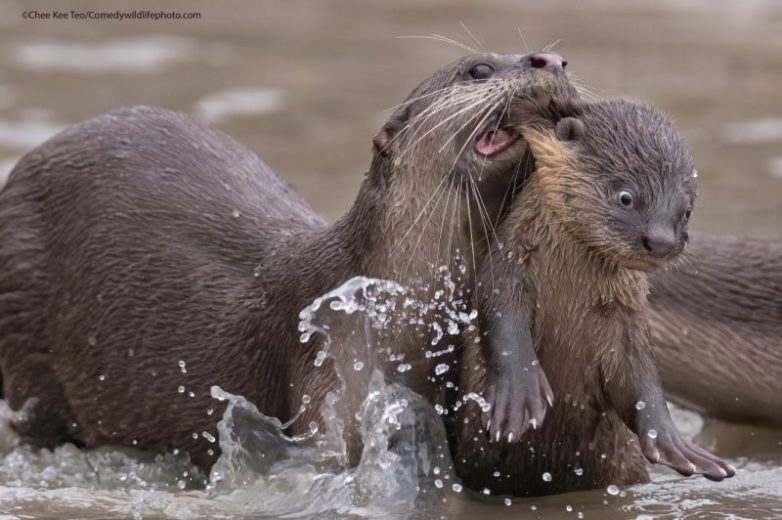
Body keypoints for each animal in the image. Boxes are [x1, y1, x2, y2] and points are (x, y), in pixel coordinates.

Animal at [456, 98, 740, 496]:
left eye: (685, 211)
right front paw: (520, 395)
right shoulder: (507, 269)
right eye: (626, 196)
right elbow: (502, 323)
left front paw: (673, 442)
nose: (662, 242)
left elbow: (639, 377)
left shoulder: (626, 317)